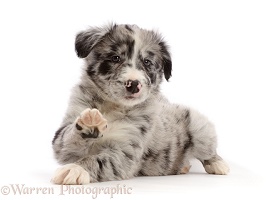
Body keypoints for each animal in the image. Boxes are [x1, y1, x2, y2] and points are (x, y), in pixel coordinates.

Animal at [51, 23, 229, 184]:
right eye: (115, 58)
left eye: (147, 62)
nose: (134, 84)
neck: (113, 106)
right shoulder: (64, 142)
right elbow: (67, 137)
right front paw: (90, 122)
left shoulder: (126, 153)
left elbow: (99, 161)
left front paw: (76, 169)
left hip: (201, 130)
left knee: (209, 152)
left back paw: (218, 164)